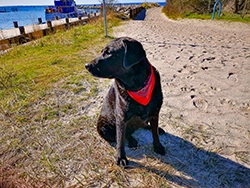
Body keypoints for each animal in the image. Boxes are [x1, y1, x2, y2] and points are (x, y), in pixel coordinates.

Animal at [85, 36, 165, 166]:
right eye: (102, 51)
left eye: (108, 52)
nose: (86, 65)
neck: (137, 87)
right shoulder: (121, 118)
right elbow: (120, 141)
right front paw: (121, 158)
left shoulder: (155, 113)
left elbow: (155, 134)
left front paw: (157, 146)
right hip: (103, 127)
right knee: (124, 135)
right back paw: (132, 140)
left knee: (144, 125)